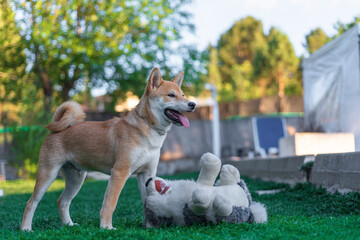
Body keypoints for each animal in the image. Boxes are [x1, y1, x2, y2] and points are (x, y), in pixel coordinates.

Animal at [20, 67, 195, 231]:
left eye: (183, 95)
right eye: (171, 95)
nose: (193, 104)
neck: (146, 127)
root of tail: (57, 129)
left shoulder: (147, 174)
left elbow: (148, 202)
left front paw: (150, 225)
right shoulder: (119, 172)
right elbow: (110, 204)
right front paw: (106, 227)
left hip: (76, 179)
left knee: (62, 201)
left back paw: (69, 224)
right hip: (48, 174)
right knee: (31, 202)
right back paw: (26, 228)